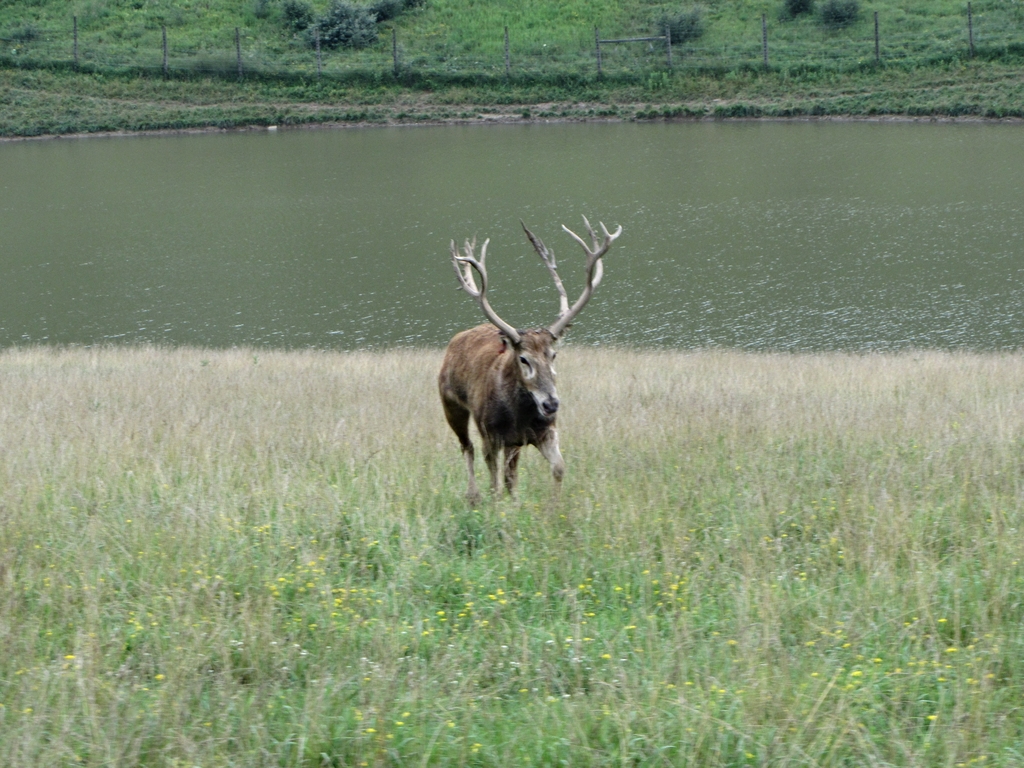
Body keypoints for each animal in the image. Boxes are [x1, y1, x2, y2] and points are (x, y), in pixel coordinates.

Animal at [438, 217, 622, 504]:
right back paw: (473, 495)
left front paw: (552, 507)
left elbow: (558, 468)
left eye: (553, 354)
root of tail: (456, 339)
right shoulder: (490, 434)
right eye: (523, 359)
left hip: (513, 443)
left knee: (507, 472)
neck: (519, 416)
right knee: (466, 447)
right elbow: (495, 482)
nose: (551, 404)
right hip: (450, 403)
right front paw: (497, 505)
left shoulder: (544, 432)